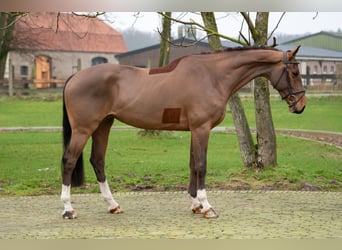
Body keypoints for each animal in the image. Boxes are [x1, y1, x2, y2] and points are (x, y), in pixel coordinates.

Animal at [60, 46, 306, 219]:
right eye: (294, 71)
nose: (301, 105)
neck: (212, 76)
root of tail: (74, 77)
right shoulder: (201, 129)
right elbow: (201, 165)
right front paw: (207, 207)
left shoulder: (193, 130)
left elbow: (192, 164)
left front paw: (196, 205)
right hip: (84, 129)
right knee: (69, 161)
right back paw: (68, 209)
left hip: (104, 125)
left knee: (98, 161)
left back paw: (113, 205)